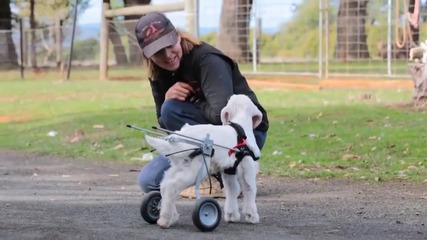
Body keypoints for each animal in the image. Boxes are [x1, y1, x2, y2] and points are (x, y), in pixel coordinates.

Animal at [145, 94, 262, 229]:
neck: (241, 125)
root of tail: (176, 139)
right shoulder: (248, 168)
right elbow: (250, 189)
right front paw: (252, 216)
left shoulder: (228, 171)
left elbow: (233, 190)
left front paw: (232, 215)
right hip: (194, 170)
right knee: (171, 187)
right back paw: (165, 219)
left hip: (178, 166)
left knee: (164, 186)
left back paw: (171, 216)